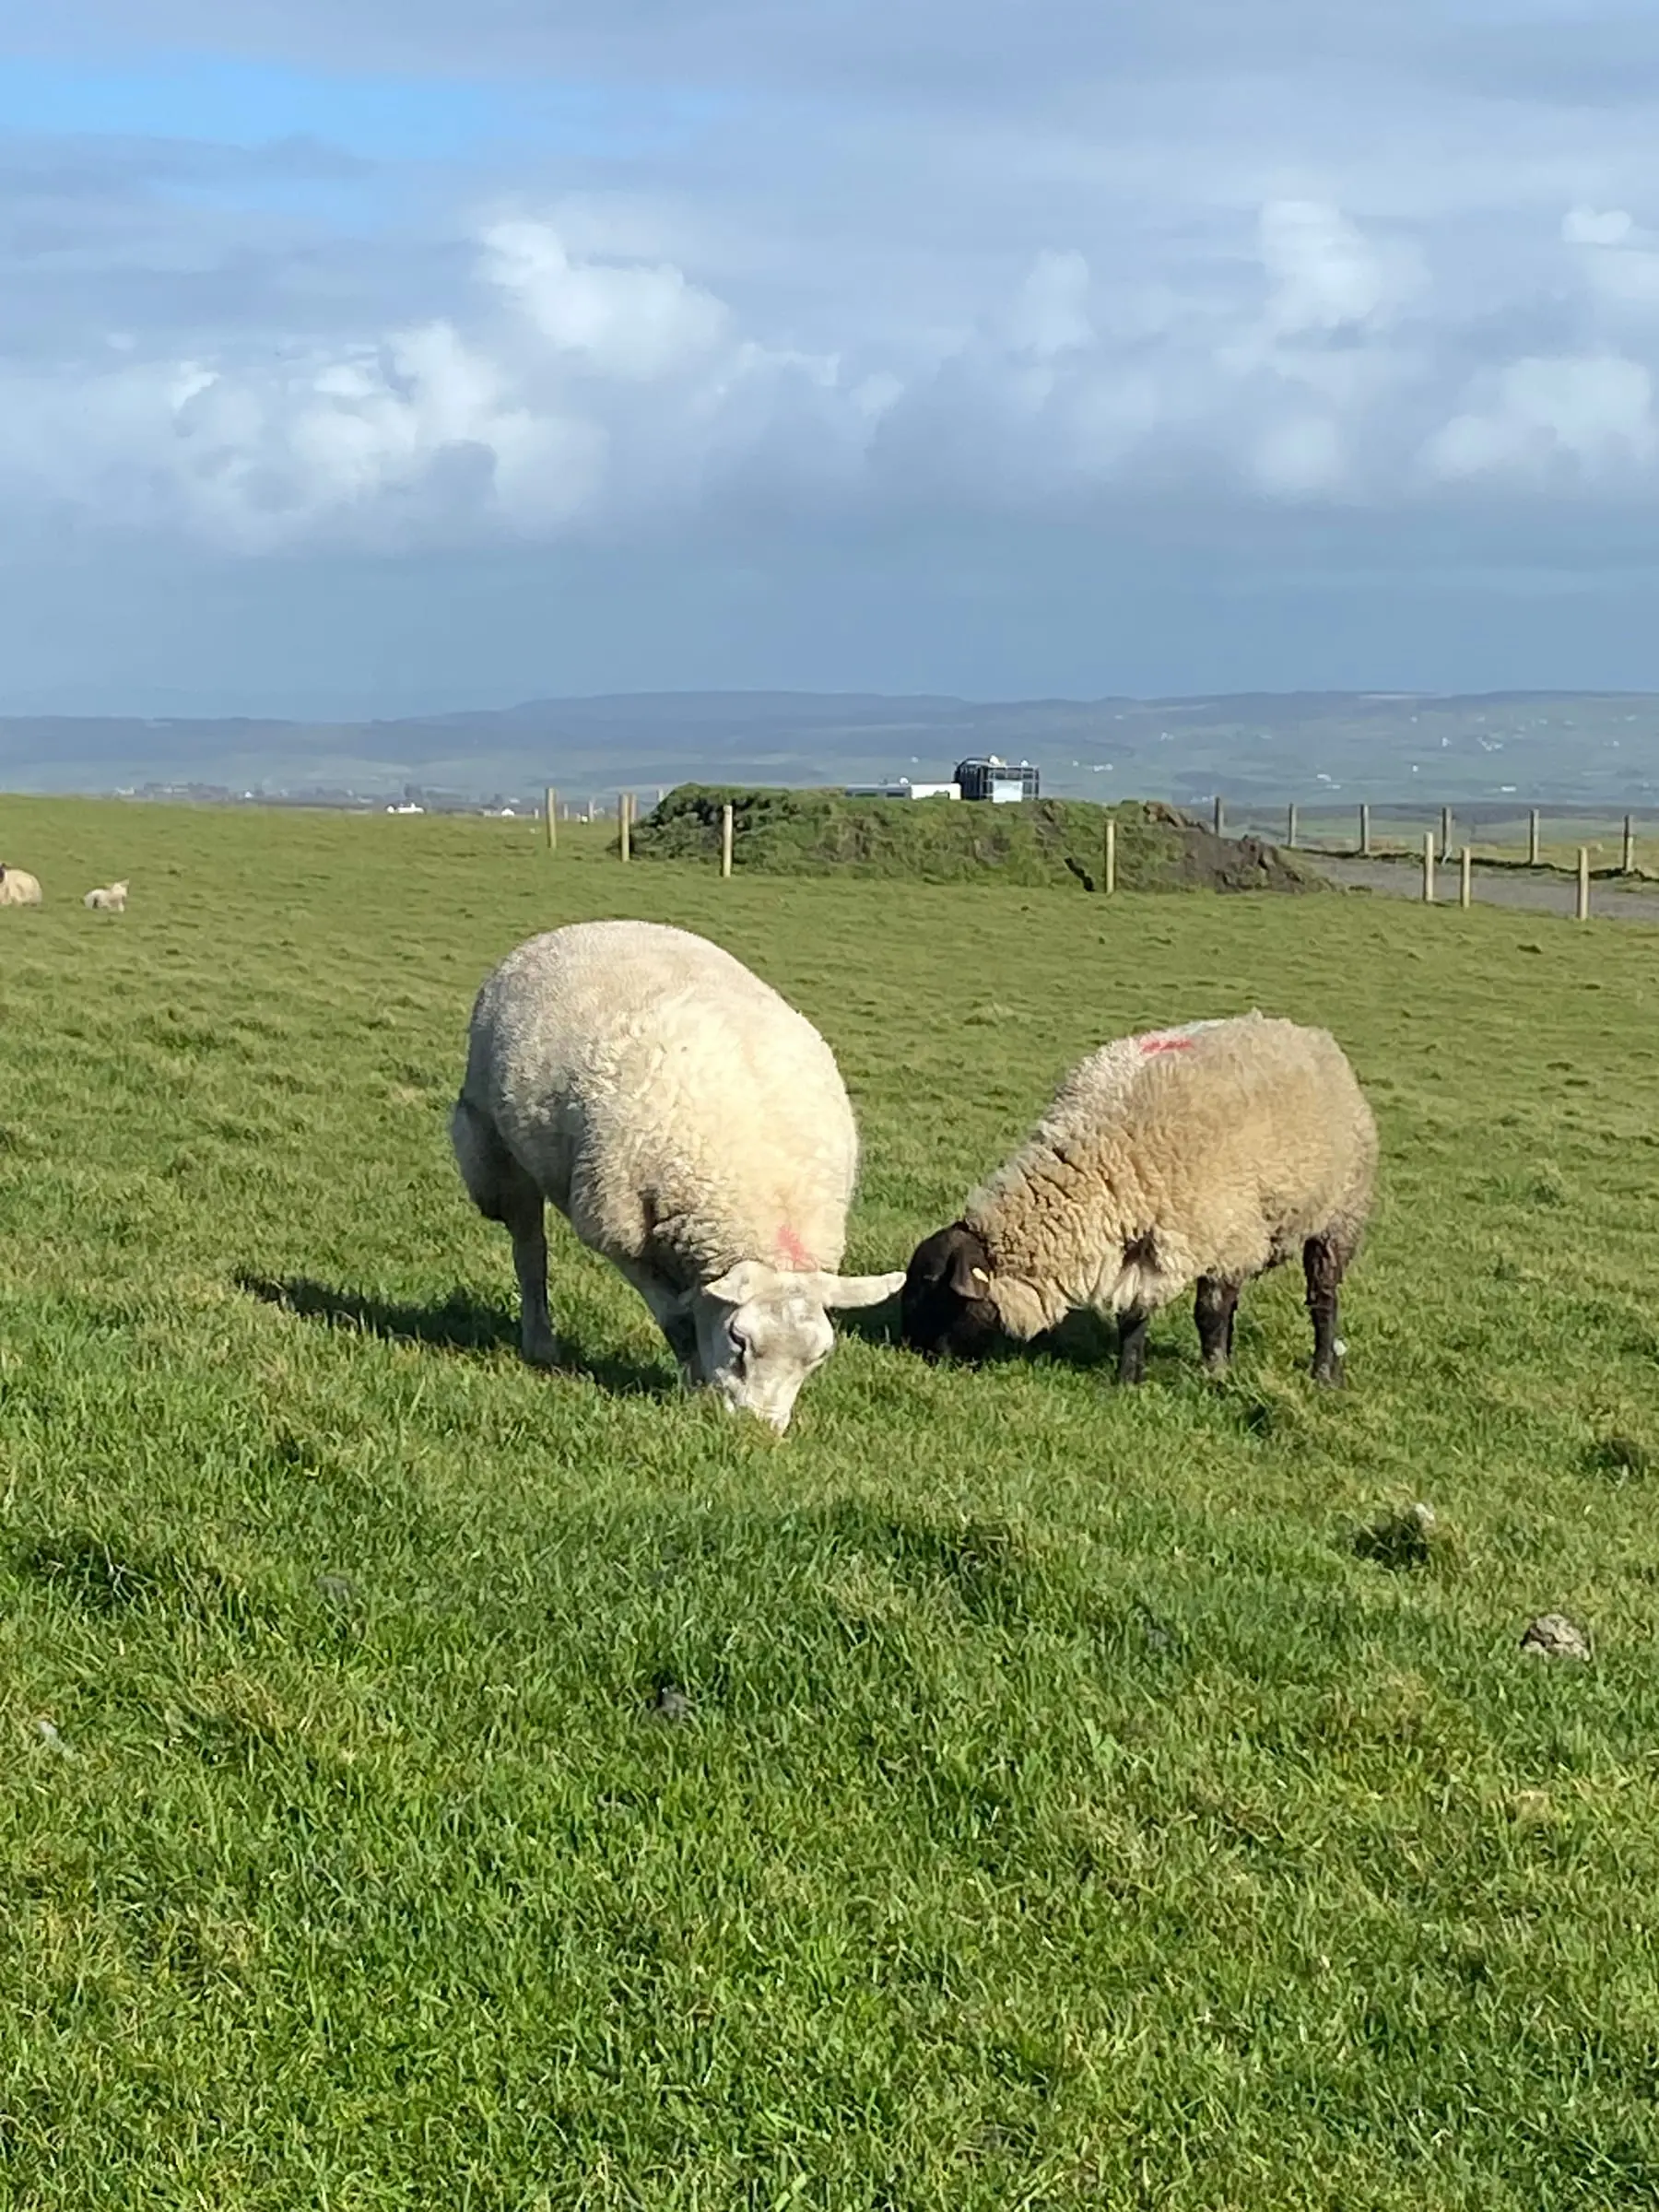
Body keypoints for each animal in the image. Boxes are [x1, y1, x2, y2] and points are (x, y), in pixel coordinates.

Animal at [450, 919, 906, 1431]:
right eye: (739, 1341)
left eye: (819, 1357)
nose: (760, 1433)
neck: (771, 1200)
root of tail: (588, 926)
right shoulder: (618, 1229)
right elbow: (675, 1317)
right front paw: (694, 1380)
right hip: (498, 1147)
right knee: (530, 1248)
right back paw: (540, 1342)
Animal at [900, 1011, 1377, 1386]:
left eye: (937, 1293)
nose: (913, 1355)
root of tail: (1313, 1035)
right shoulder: (1139, 1239)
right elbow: (1134, 1313)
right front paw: (1127, 1380)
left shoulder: (1225, 1235)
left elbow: (1210, 1312)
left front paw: (1214, 1376)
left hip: (1339, 1217)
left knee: (1323, 1299)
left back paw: (1322, 1373)